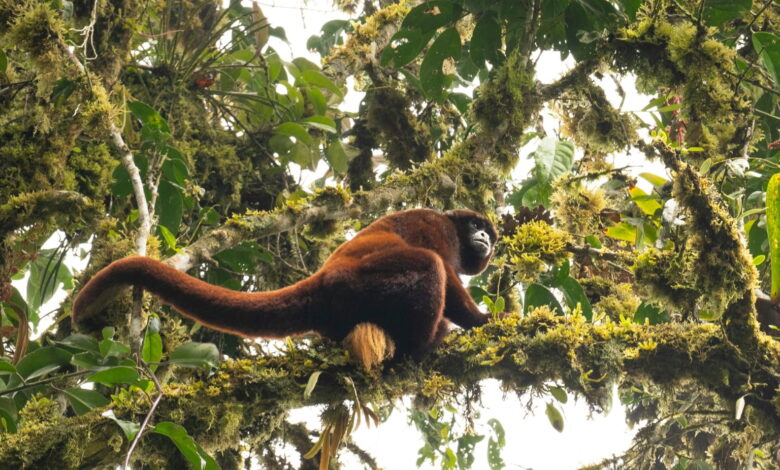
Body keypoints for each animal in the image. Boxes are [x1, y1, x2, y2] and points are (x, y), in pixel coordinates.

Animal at [72, 209, 498, 368]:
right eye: (476, 226)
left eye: (490, 234)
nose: (486, 240)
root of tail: (320, 280)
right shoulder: (437, 227)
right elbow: (445, 270)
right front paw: (482, 320)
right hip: (359, 284)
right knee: (428, 266)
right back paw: (421, 344)